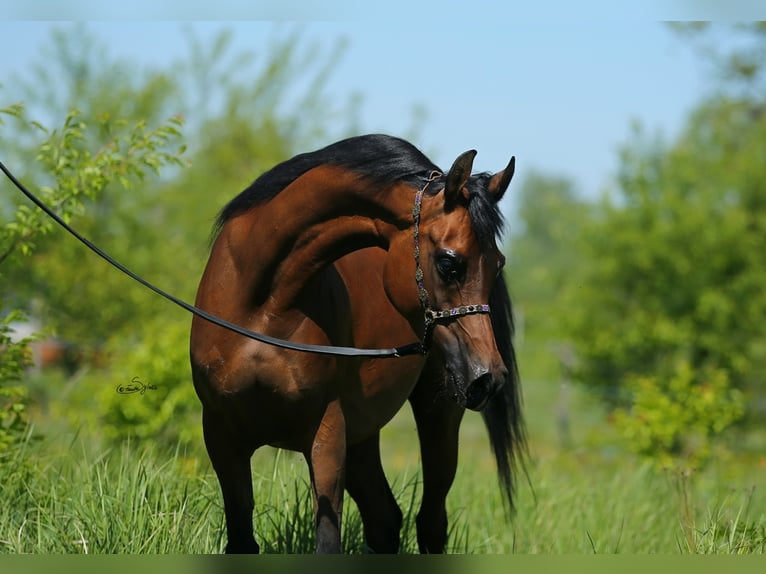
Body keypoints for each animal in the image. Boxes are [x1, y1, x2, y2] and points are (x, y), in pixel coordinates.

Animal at [192, 134, 528, 552]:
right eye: (449, 263)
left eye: (498, 263)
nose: (489, 377)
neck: (260, 302)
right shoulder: (222, 436)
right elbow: (241, 538)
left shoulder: (327, 436)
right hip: (363, 435)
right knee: (384, 519)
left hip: (437, 414)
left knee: (429, 521)